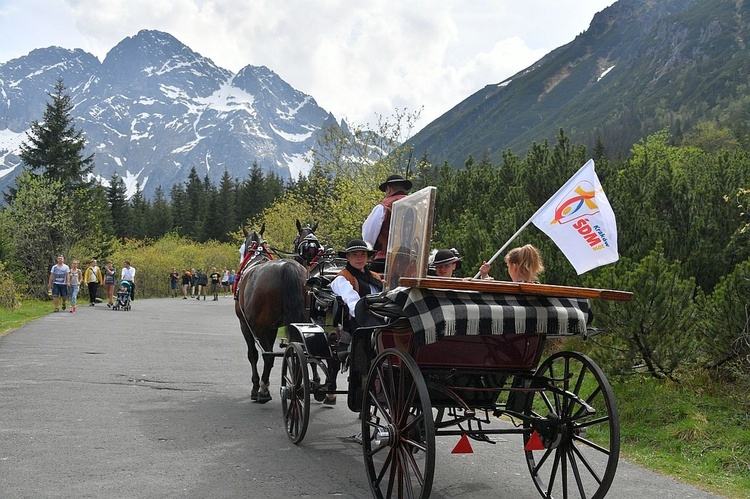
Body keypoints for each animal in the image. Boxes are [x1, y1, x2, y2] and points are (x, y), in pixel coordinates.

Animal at [234, 225, 306, 404]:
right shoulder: (272, 328)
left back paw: (263, 390)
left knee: (268, 356)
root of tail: (287, 266)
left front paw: (255, 387)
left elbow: (253, 355)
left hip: (258, 327)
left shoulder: (245, 325)